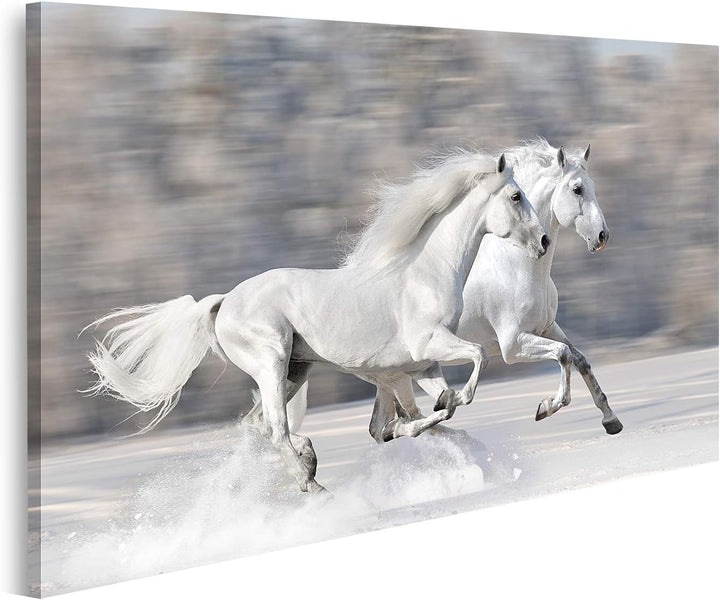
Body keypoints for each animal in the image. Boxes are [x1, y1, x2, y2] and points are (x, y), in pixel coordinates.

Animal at [85, 150, 550, 493]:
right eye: (515, 196)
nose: (544, 240)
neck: (424, 272)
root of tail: (223, 302)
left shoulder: (419, 367)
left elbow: (428, 412)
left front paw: (447, 421)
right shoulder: (426, 349)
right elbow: (474, 363)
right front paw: (445, 409)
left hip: (295, 370)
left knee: (259, 426)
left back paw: (309, 462)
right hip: (272, 364)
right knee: (274, 429)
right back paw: (313, 485)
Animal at [285, 139, 623, 443]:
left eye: (592, 185)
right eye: (577, 189)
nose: (602, 236)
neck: (517, 265)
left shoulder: (547, 327)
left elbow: (579, 359)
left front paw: (611, 420)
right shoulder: (513, 344)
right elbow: (563, 355)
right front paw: (546, 407)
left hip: (390, 375)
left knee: (383, 426)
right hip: (394, 374)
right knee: (395, 421)